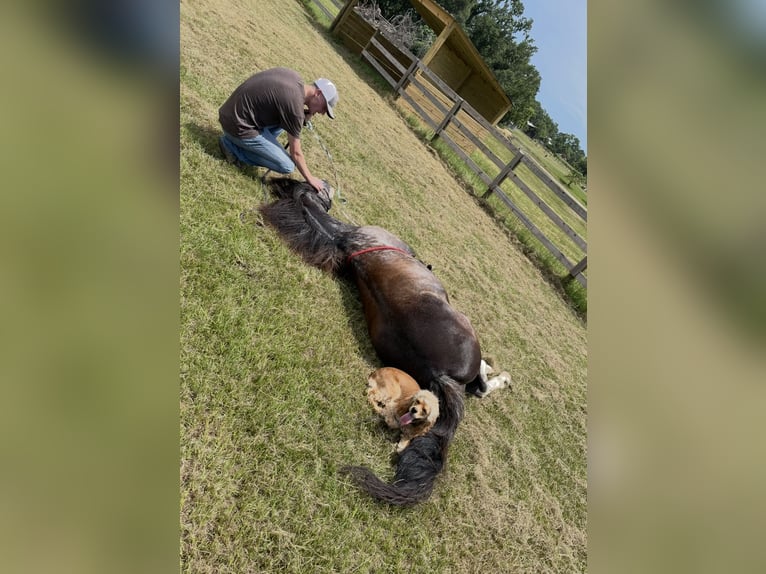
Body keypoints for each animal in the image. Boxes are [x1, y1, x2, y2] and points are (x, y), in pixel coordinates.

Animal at [259, 179, 509, 505]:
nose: (324, 183)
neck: (346, 239)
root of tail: (440, 373)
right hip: (467, 327)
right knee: (480, 386)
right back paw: (500, 375)